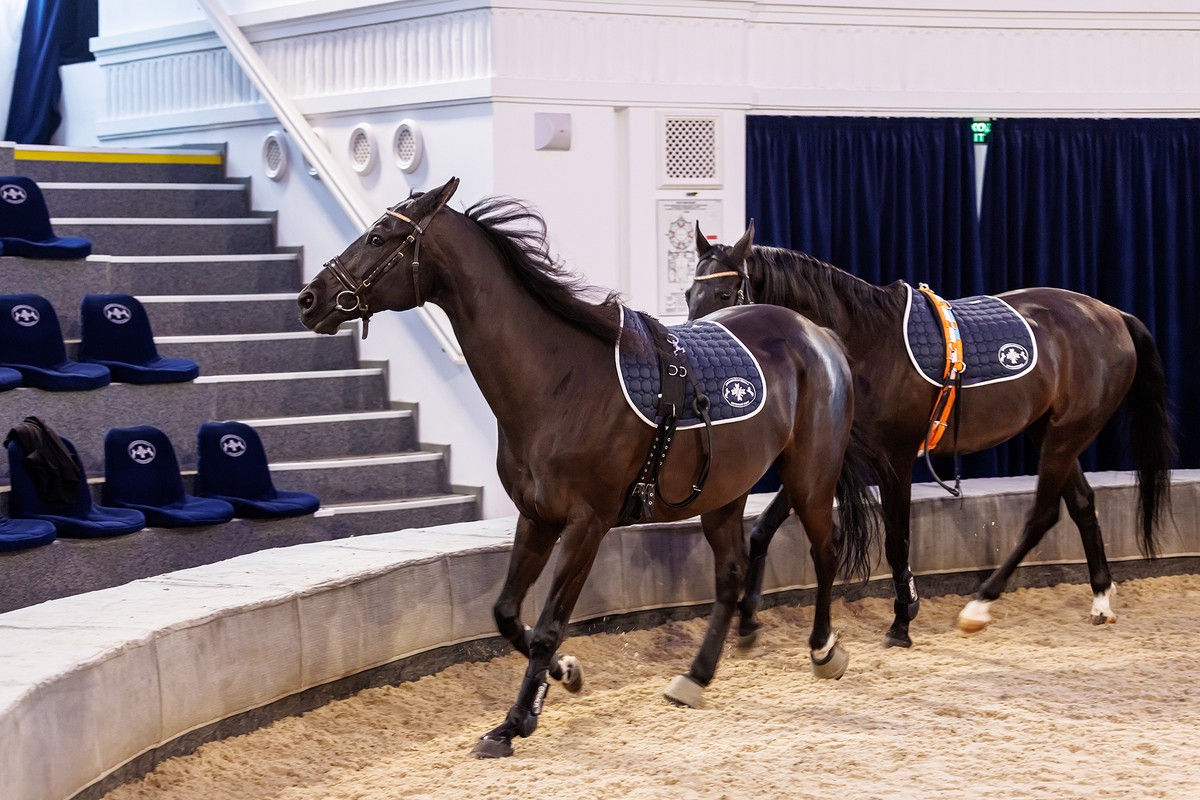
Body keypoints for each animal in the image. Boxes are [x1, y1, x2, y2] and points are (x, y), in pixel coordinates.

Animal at [297, 178, 881, 759]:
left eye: (379, 235)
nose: (310, 298)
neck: (560, 379)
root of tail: (817, 334)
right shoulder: (537, 518)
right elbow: (507, 613)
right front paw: (563, 676)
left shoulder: (587, 525)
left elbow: (549, 625)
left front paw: (515, 721)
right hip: (723, 492)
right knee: (732, 571)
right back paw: (695, 676)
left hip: (809, 479)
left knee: (824, 551)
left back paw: (824, 650)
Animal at [686, 222, 1174, 647]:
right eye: (690, 293)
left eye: (726, 293)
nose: (700, 352)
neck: (866, 341)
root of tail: (1113, 315)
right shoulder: (830, 457)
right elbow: (763, 528)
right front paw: (748, 621)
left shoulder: (895, 460)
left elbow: (898, 540)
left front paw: (902, 623)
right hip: (1051, 432)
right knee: (1082, 504)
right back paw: (1101, 599)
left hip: (1065, 436)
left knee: (1042, 515)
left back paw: (979, 606)